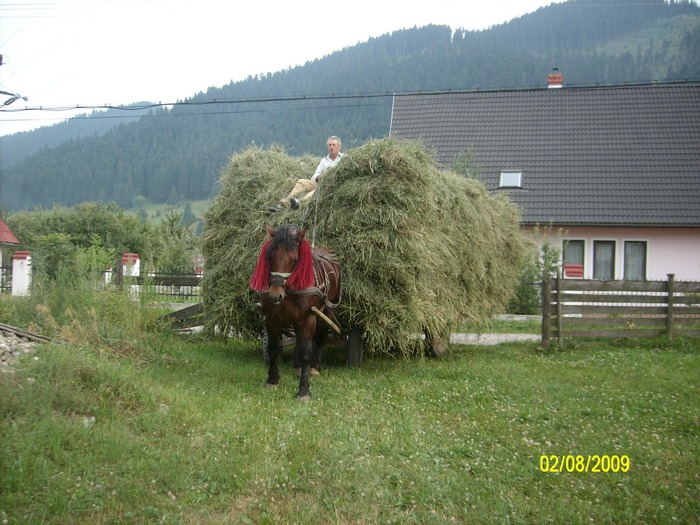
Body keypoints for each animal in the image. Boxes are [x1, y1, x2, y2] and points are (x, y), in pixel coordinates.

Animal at [249, 222, 342, 402]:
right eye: (270, 257)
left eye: (295, 260)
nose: (275, 295)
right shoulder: (271, 319)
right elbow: (273, 348)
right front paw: (272, 380)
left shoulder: (308, 319)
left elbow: (306, 352)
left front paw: (304, 391)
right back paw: (298, 367)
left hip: (325, 311)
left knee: (320, 337)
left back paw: (314, 367)